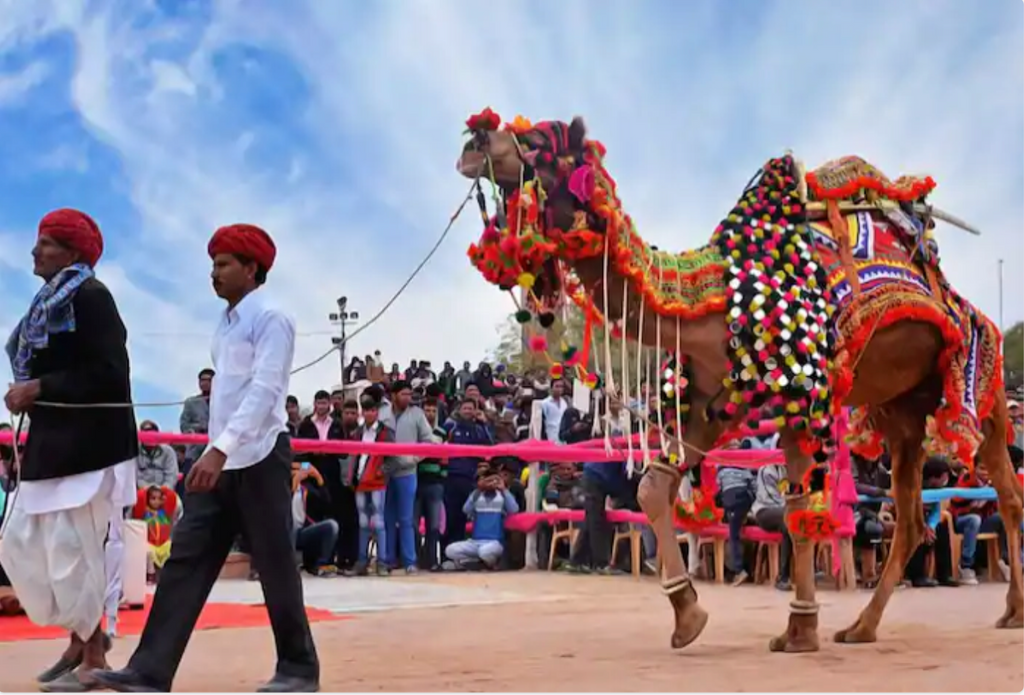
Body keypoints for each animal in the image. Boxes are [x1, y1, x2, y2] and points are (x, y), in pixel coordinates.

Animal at [458, 108, 1024, 650]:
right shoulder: (712, 399)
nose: (473, 141)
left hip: (983, 380)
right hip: (901, 410)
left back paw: (1010, 612)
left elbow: (799, 510)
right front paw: (688, 615)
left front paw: (799, 631)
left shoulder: (803, 395)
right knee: (909, 519)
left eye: (536, 142)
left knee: (1007, 491)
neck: (716, 296)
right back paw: (862, 627)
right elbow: (653, 491)